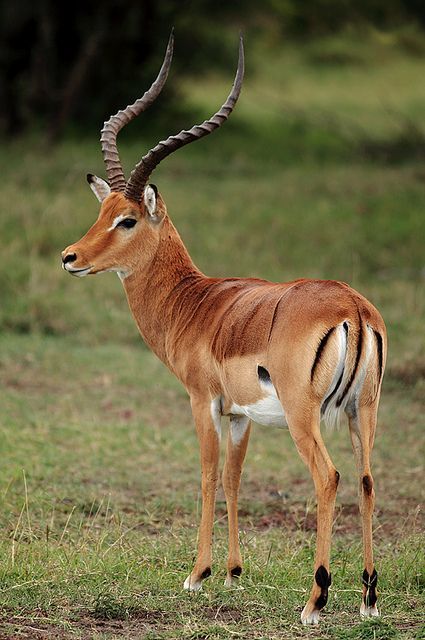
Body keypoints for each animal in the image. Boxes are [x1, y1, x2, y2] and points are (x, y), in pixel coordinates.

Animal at [61, 32, 386, 624]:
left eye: (128, 219)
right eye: (102, 212)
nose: (70, 257)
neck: (195, 303)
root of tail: (352, 306)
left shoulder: (202, 400)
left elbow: (208, 474)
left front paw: (197, 574)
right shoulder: (240, 415)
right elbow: (235, 478)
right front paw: (234, 573)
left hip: (306, 417)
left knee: (328, 478)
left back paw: (315, 601)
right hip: (362, 410)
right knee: (368, 480)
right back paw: (369, 599)